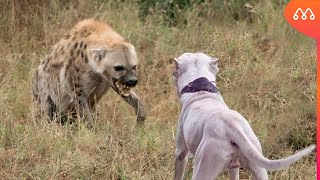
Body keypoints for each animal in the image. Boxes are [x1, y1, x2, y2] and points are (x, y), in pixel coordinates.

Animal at [172, 52, 316, 180]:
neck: (201, 90)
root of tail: (232, 126)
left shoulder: (181, 153)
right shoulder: (234, 167)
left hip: (204, 167)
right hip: (258, 166)